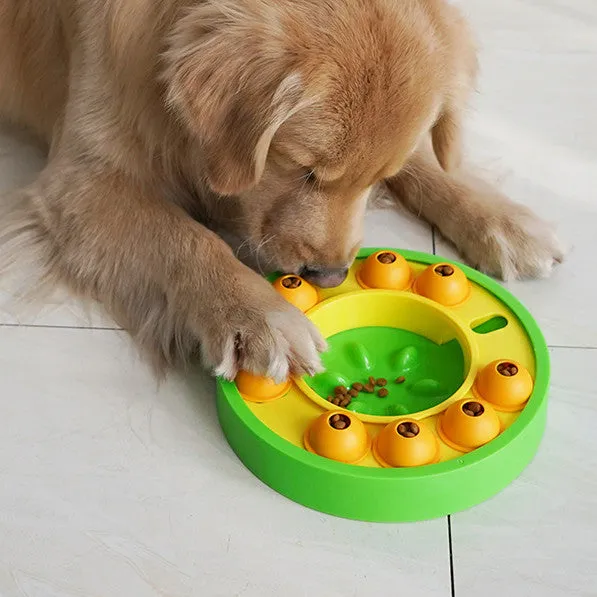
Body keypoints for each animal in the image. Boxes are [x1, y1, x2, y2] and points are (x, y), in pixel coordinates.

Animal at [0, 1, 560, 378]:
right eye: (302, 169)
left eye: (375, 179)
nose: (331, 276)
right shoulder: (83, 181)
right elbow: (186, 238)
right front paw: (257, 315)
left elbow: (428, 161)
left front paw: (502, 219)